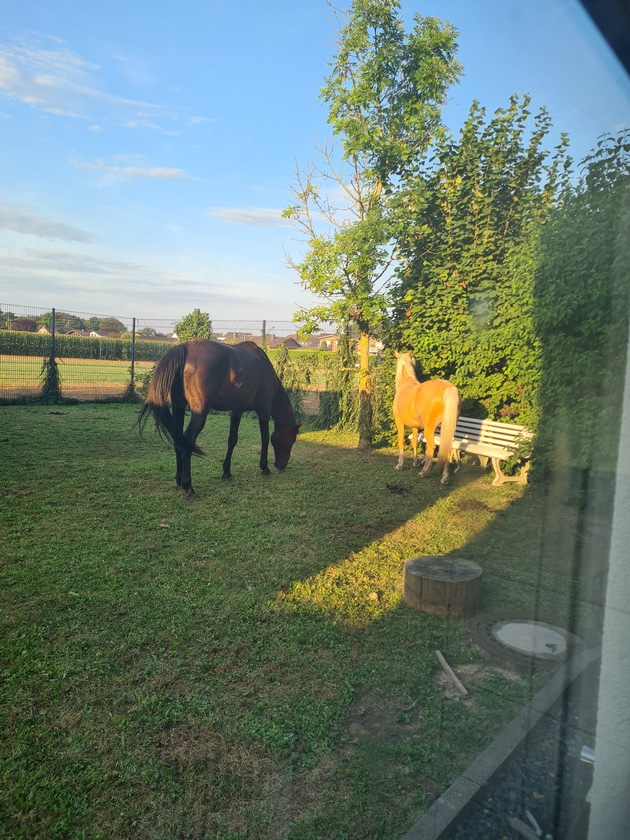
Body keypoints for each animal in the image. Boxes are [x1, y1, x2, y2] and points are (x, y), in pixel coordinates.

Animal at [139, 340, 302, 498]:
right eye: (292, 439)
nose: (280, 465)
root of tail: (183, 348)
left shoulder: (237, 411)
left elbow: (232, 440)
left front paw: (226, 471)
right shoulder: (264, 410)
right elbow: (265, 438)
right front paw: (264, 467)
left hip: (178, 407)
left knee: (178, 440)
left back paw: (179, 481)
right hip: (199, 414)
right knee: (188, 441)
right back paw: (188, 487)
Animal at [392, 350, 462, 486]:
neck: (406, 383)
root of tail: (448, 387)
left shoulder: (399, 422)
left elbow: (401, 441)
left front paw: (399, 465)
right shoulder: (415, 427)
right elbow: (414, 441)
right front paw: (415, 462)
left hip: (430, 428)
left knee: (432, 447)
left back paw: (424, 472)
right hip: (446, 428)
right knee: (447, 448)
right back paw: (445, 478)